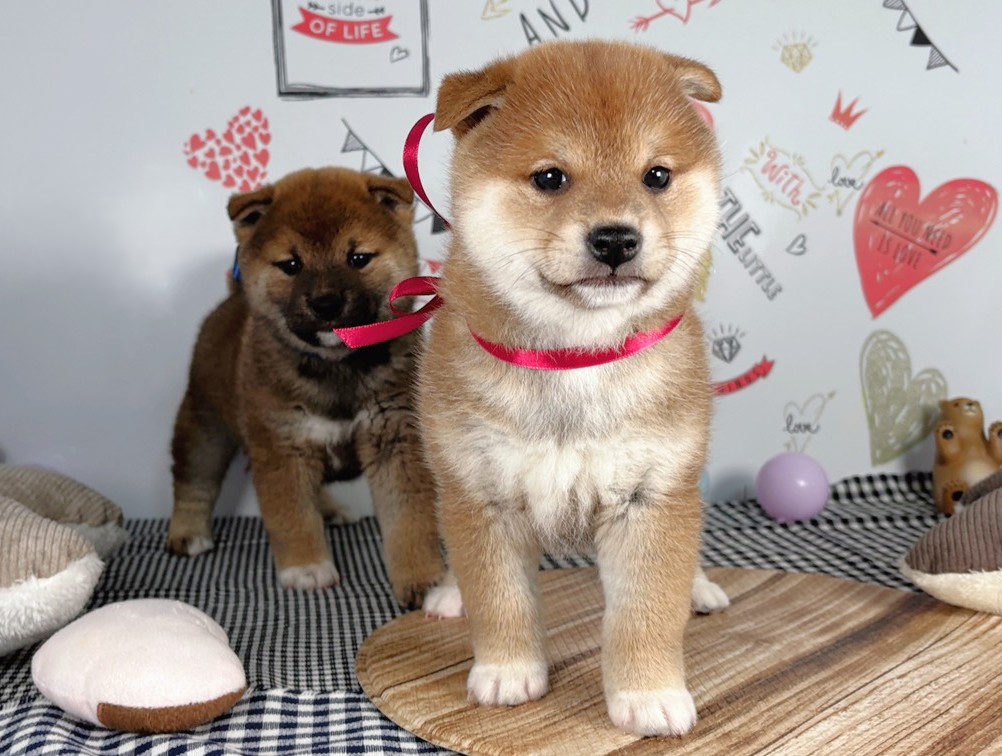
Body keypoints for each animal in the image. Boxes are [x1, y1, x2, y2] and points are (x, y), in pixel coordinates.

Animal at [167, 167, 444, 607]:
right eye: (291, 264)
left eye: (358, 258)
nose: (325, 303)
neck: (337, 367)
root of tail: (232, 298)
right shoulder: (282, 446)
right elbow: (292, 515)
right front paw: (307, 568)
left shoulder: (396, 439)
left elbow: (410, 521)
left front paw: (425, 581)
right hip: (205, 425)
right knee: (193, 480)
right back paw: (189, 532)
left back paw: (330, 510)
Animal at [417, 41, 729, 736]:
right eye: (550, 178)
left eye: (656, 176)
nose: (615, 238)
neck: (574, 359)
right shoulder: (482, 495)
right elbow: (499, 599)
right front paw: (507, 671)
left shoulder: (651, 498)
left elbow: (645, 612)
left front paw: (648, 694)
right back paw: (447, 591)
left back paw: (699, 586)